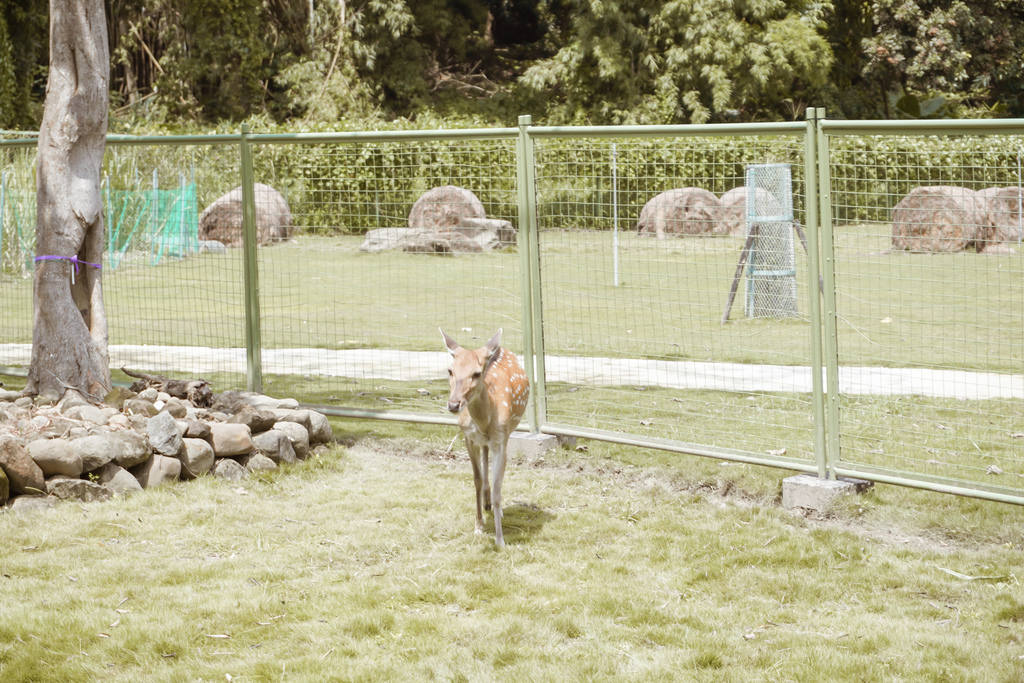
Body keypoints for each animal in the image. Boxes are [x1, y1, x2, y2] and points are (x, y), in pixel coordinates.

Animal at [440, 327, 532, 548]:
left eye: (476, 373)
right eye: (450, 370)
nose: (453, 405)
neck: (484, 422)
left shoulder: (502, 440)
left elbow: (499, 488)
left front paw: (500, 540)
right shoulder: (467, 437)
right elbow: (477, 479)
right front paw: (478, 526)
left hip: (508, 432)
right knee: (484, 457)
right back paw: (486, 502)